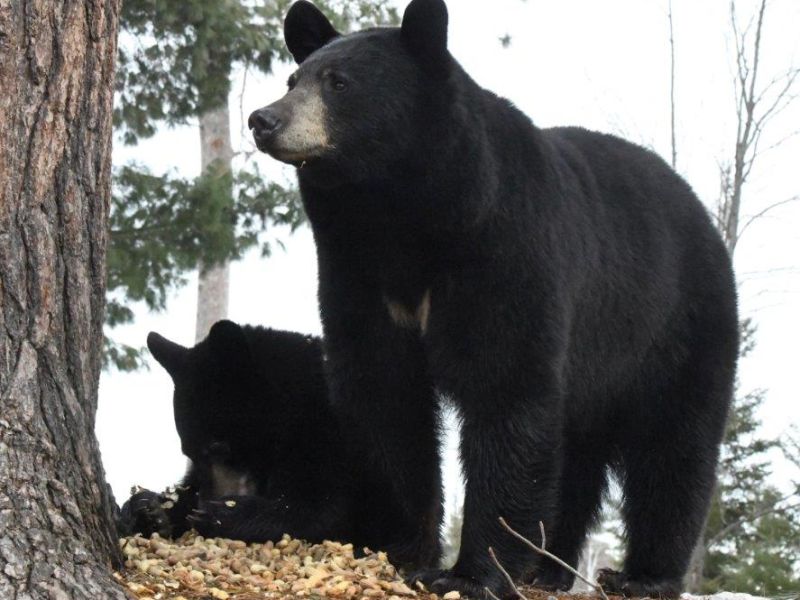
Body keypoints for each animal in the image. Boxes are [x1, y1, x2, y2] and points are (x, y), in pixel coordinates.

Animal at [246, 0, 739, 597]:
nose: (263, 120)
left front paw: (470, 572)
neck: (399, 215)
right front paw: (401, 546)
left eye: (339, 83)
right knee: (577, 457)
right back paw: (549, 566)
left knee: (673, 448)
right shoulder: (357, 275)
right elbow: (384, 394)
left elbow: (505, 390)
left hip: (676, 325)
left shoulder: (503, 252)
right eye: (293, 79)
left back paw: (643, 576)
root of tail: (702, 217)